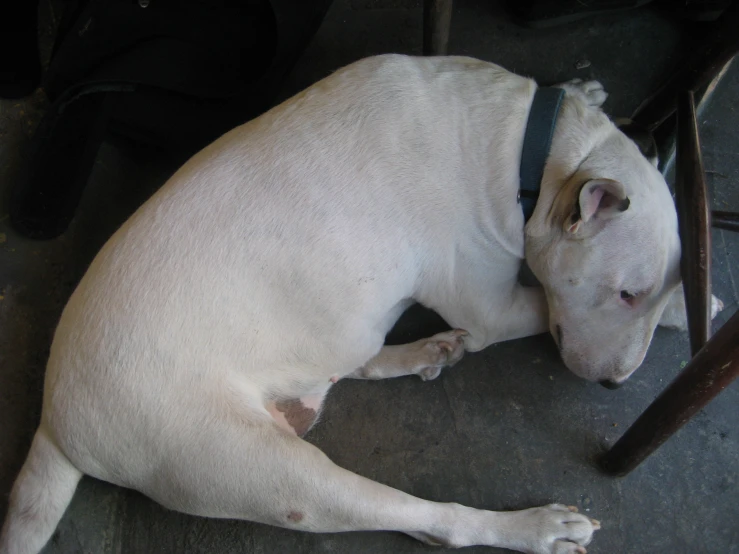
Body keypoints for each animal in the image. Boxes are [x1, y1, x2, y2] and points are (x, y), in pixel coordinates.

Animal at [0, 55, 720, 552]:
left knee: (352, 359)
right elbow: (541, 311)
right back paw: (534, 527)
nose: (615, 384)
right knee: (429, 518)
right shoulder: (489, 305)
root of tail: (54, 422)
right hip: (279, 478)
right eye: (625, 292)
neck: (532, 149)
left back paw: (427, 349)